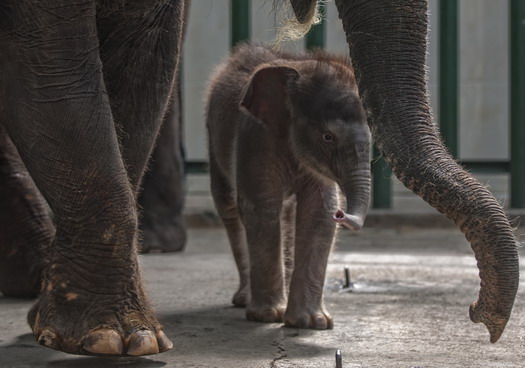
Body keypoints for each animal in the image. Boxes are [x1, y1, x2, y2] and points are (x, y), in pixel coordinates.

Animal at [207, 44, 370, 330]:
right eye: (328, 137)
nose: (342, 214)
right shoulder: (255, 137)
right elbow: (261, 208)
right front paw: (268, 316)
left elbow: (318, 213)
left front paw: (311, 323)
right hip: (213, 143)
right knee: (229, 206)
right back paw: (244, 300)